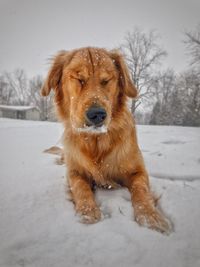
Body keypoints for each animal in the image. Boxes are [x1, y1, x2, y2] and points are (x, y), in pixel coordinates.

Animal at [41, 47, 171, 234]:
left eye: (106, 80)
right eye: (79, 79)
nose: (97, 114)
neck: (96, 142)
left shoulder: (138, 171)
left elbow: (141, 190)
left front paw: (150, 216)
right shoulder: (74, 172)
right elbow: (80, 187)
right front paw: (87, 211)